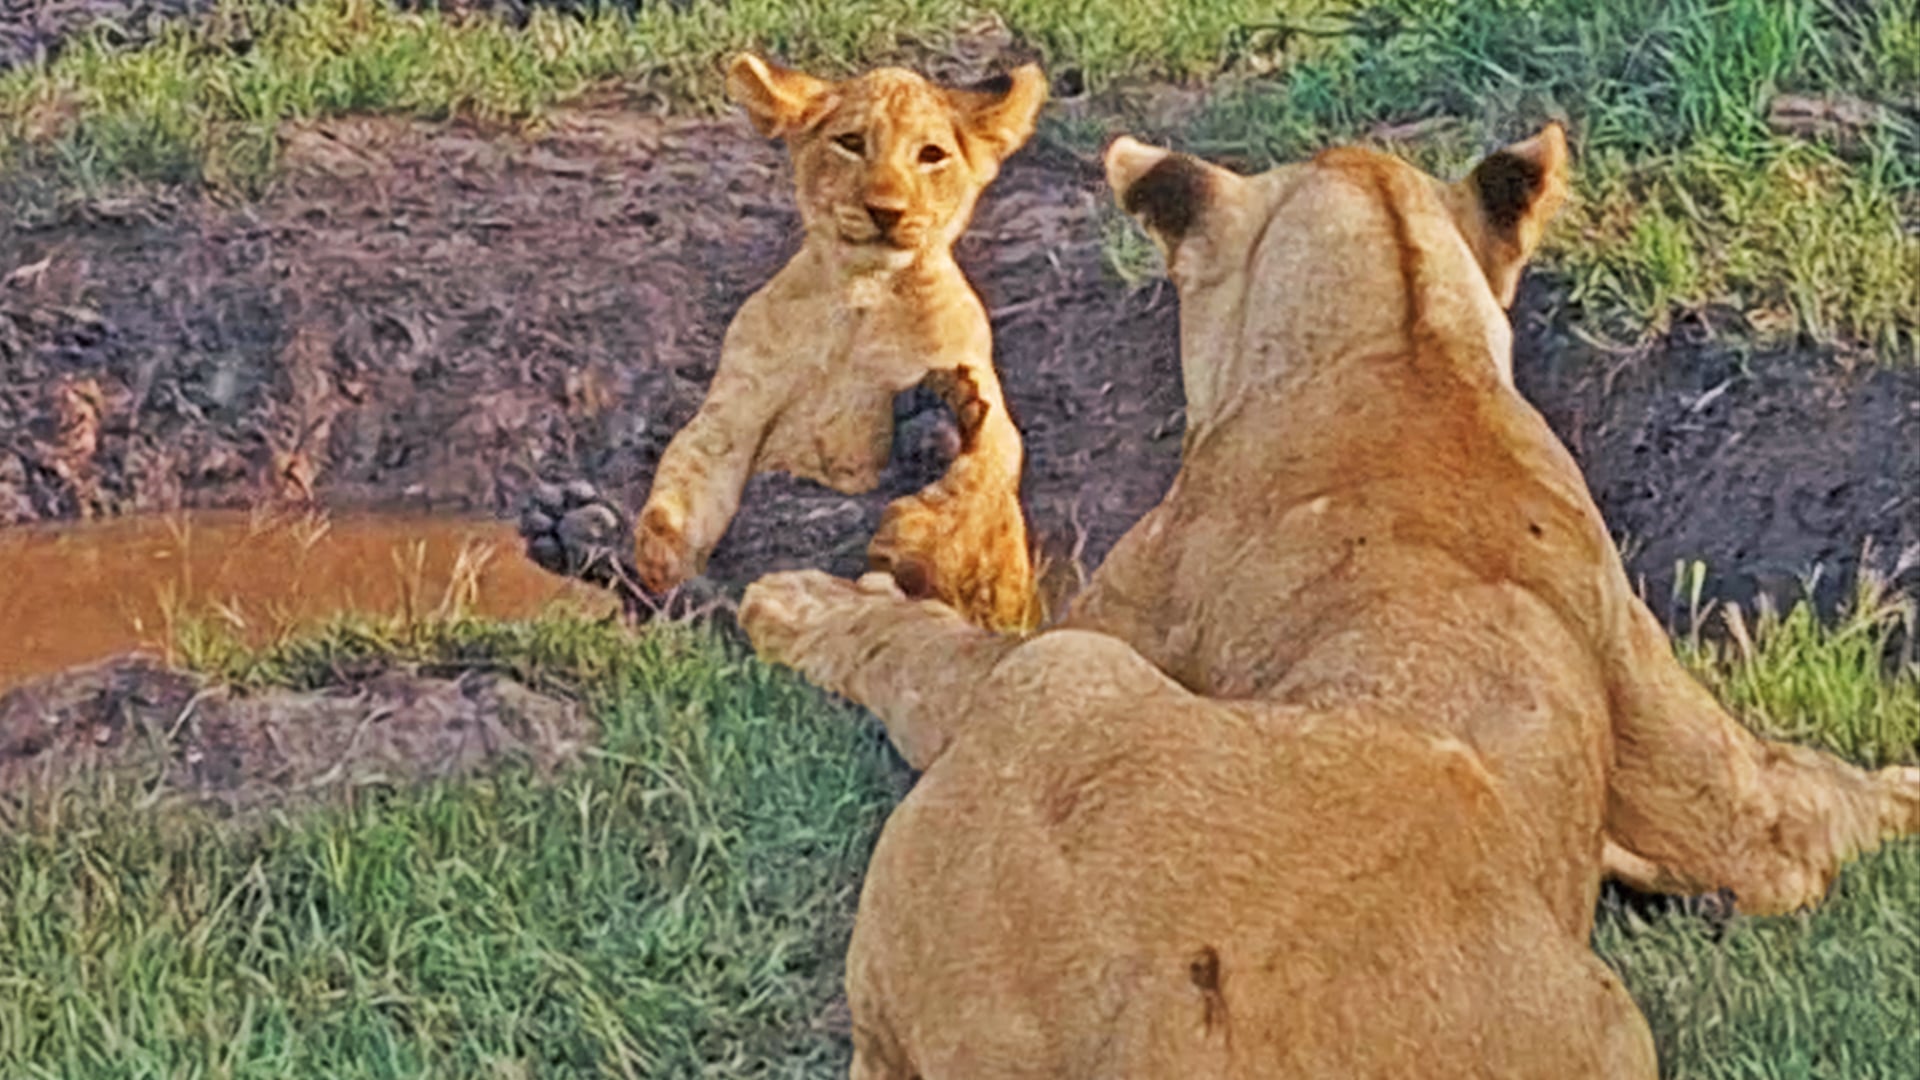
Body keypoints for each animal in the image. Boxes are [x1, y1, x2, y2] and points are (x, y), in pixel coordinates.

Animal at [520, 54, 1046, 631]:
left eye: (931, 155)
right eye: (851, 143)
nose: (887, 210)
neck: (862, 294)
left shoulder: (980, 390)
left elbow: (978, 486)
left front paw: (921, 516)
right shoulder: (733, 406)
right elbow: (688, 475)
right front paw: (659, 549)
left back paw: (934, 429)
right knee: (709, 604)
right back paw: (579, 532)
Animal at [736, 126, 1679, 1078]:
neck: (1410, 350)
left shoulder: (1102, 612)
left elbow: (928, 647)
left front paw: (809, 597)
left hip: (1066, 681)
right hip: (1623, 1030)